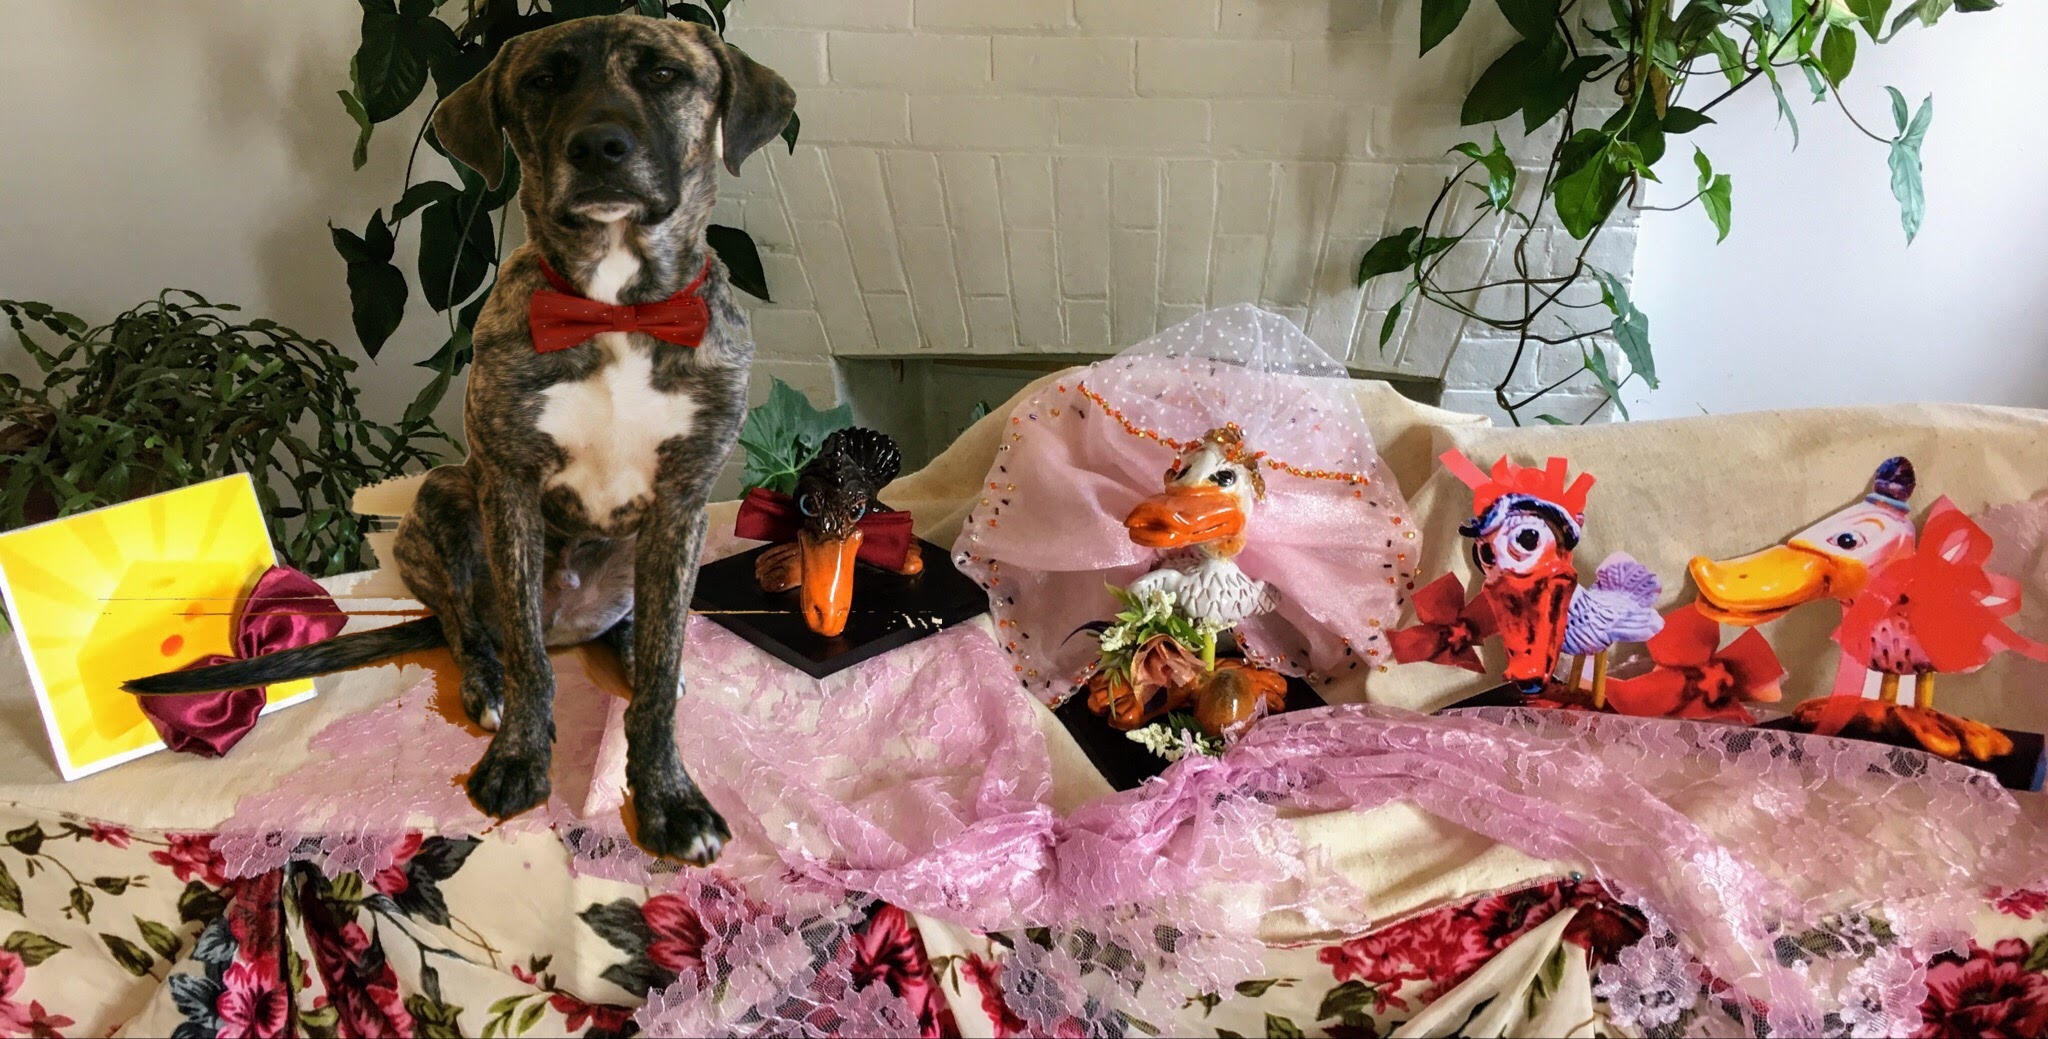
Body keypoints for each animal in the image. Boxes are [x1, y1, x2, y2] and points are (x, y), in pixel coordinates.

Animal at [125, 14, 796, 865]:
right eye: (544, 80)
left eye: (666, 74)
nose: (598, 146)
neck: (613, 306)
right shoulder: (506, 481)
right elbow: (528, 662)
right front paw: (518, 755)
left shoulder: (684, 500)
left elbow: (659, 672)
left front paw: (670, 794)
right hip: (444, 497)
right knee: (469, 623)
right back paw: (486, 679)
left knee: (639, 632)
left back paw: (632, 650)